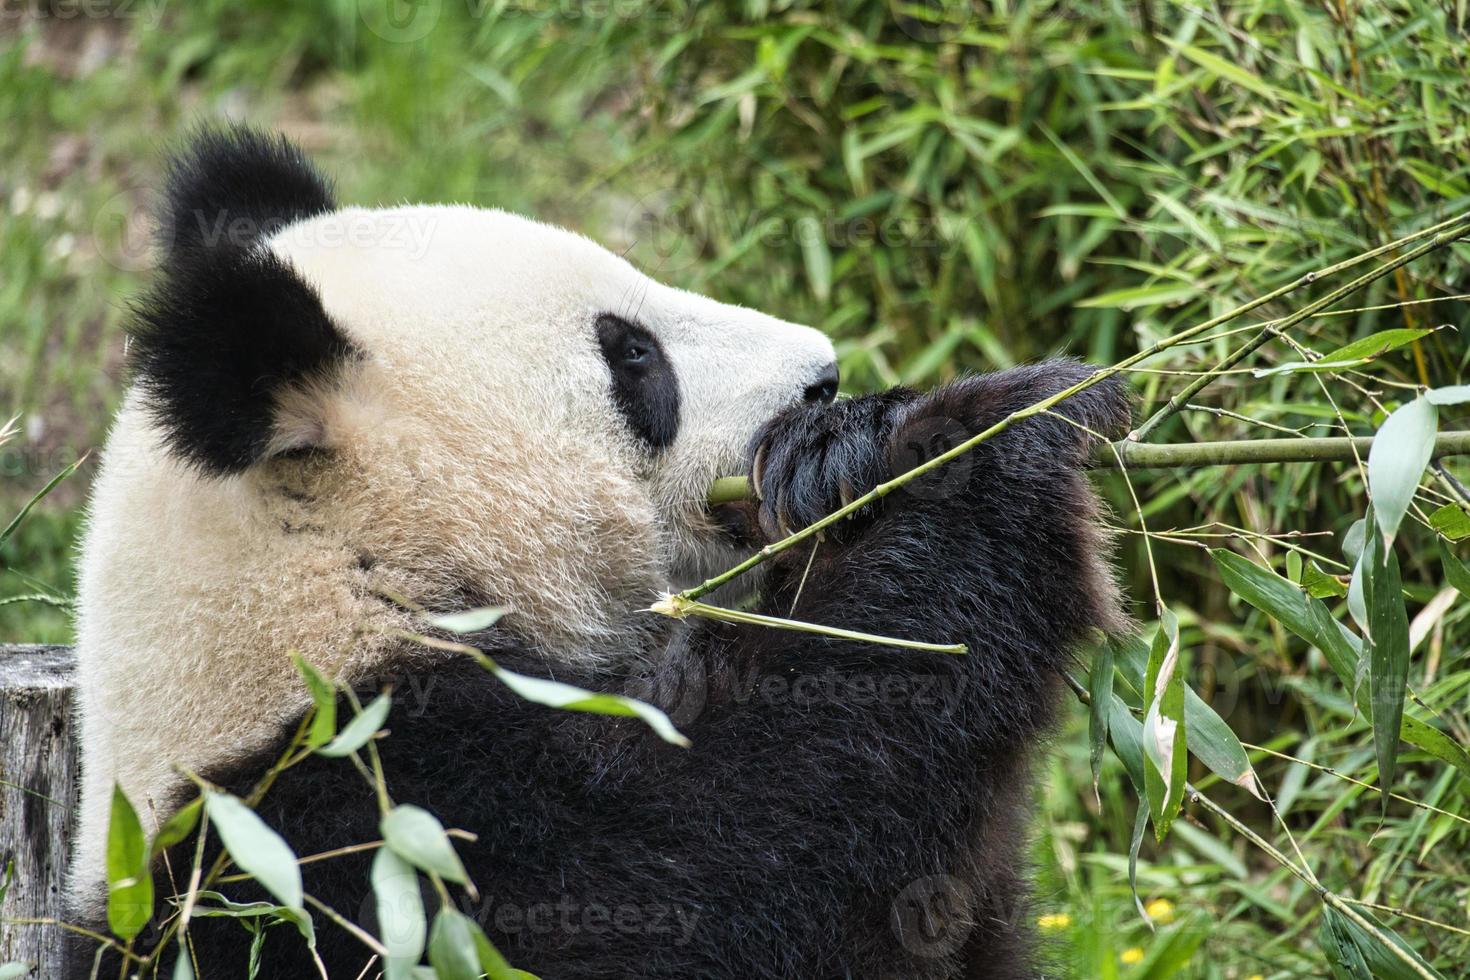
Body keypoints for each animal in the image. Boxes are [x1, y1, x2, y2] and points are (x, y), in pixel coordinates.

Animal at [63, 130, 1128, 980]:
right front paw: (977, 442)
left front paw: (848, 452)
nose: (822, 378)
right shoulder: (375, 836)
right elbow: (744, 855)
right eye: (631, 356)